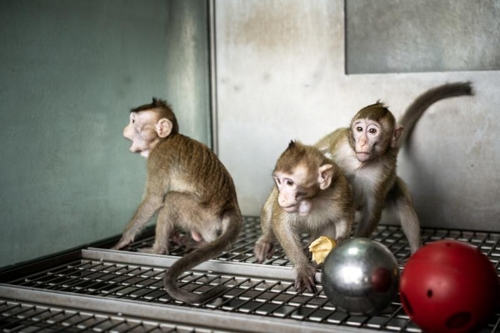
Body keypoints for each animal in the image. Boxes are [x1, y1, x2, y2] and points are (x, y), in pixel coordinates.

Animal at [111, 97, 242, 302]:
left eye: (133, 121)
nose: (125, 128)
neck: (163, 140)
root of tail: (229, 206)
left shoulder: (158, 158)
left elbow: (155, 199)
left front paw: (122, 241)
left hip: (202, 215)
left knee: (170, 199)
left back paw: (158, 250)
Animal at [254, 141, 356, 292]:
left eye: (290, 182)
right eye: (278, 181)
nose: (282, 199)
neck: (312, 198)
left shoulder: (340, 191)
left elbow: (344, 214)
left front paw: (342, 239)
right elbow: (281, 225)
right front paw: (302, 267)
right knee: (269, 207)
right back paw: (266, 241)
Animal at [316, 81, 472, 252]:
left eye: (372, 131)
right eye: (359, 129)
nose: (362, 142)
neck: (359, 163)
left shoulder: (383, 172)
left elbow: (372, 210)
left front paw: (356, 240)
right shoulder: (341, 142)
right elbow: (322, 146)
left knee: (403, 204)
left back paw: (416, 249)